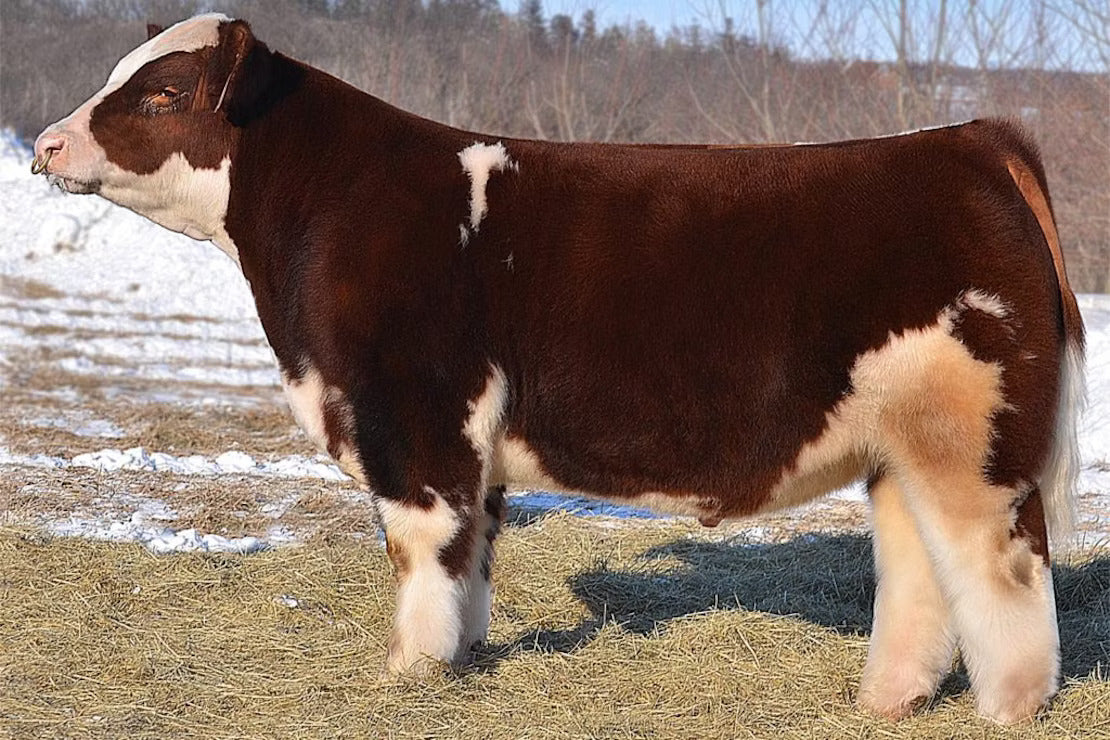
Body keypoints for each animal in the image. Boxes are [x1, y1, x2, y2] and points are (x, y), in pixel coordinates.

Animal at [32, 14, 1085, 724]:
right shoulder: (470, 444)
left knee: (1003, 574)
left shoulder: (415, 417)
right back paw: (887, 701)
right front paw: (461, 656)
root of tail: (967, 139)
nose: (46, 143)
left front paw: (409, 670)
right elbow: (473, 555)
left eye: (162, 94)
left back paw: (1009, 709)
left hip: (973, 442)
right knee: (919, 572)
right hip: (903, 446)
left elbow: (420, 550)